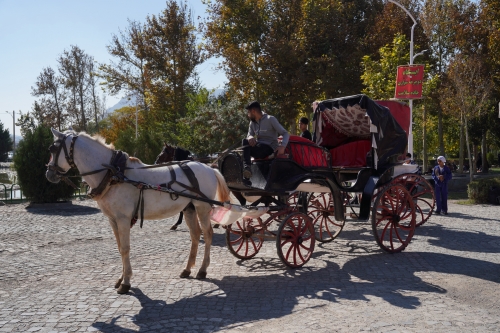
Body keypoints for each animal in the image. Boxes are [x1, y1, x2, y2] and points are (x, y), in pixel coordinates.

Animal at [46, 128, 231, 292]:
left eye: (52, 149)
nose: (48, 173)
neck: (113, 173)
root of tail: (209, 168)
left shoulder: (123, 219)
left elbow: (125, 248)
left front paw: (126, 282)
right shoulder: (113, 220)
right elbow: (120, 248)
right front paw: (121, 278)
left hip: (203, 207)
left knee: (207, 234)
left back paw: (203, 269)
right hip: (189, 208)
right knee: (195, 235)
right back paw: (187, 269)